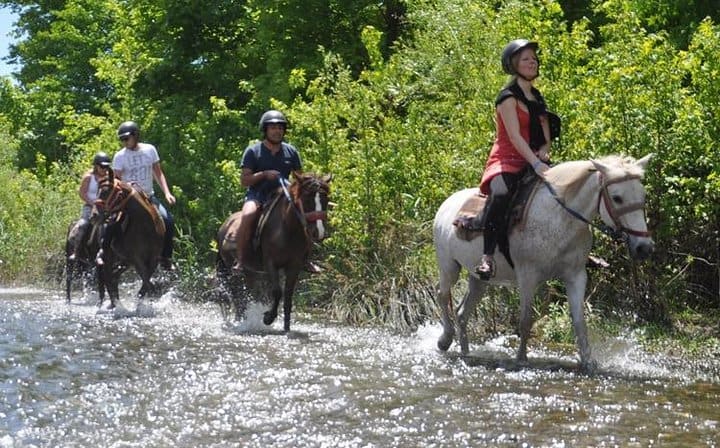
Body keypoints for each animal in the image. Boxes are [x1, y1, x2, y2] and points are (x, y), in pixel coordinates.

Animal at [92, 170, 165, 308]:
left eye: (106, 191)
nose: (94, 215)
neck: (146, 226)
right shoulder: (136, 259)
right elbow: (146, 279)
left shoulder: (153, 259)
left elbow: (146, 280)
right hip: (111, 257)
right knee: (108, 276)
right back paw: (114, 304)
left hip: (124, 261)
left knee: (113, 276)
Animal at [216, 172, 332, 331]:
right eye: (307, 199)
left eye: (325, 198)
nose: (318, 232)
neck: (287, 229)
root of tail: (224, 225)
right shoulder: (271, 263)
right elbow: (277, 291)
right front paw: (268, 318)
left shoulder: (294, 266)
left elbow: (288, 296)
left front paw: (286, 328)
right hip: (231, 270)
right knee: (237, 296)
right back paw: (240, 322)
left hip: (250, 272)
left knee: (247, 294)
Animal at [433, 154, 655, 373]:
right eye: (617, 198)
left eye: (643, 195)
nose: (644, 248)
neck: (560, 218)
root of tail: (447, 203)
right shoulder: (527, 276)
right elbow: (526, 320)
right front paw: (521, 360)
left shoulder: (576, 276)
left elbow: (579, 321)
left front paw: (588, 362)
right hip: (449, 267)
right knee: (442, 295)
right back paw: (445, 340)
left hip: (480, 279)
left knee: (462, 313)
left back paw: (465, 352)